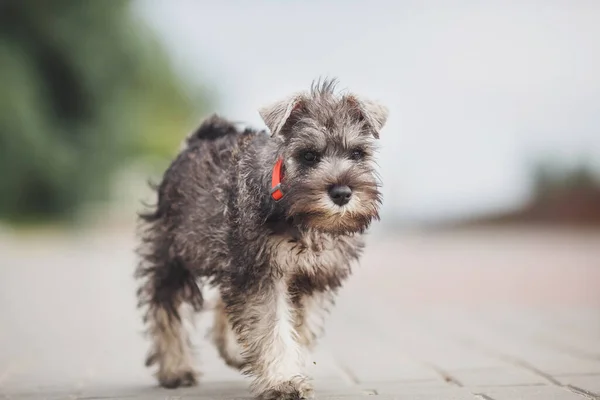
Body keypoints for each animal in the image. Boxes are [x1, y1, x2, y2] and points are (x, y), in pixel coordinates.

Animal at [136, 79, 390, 400]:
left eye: (357, 154)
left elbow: (298, 330)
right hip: (173, 255)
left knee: (223, 300)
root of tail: (201, 137)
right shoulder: (263, 274)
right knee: (165, 308)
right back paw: (176, 368)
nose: (342, 193)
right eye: (308, 155)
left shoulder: (314, 279)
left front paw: (289, 370)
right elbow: (273, 327)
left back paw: (232, 350)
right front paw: (283, 381)